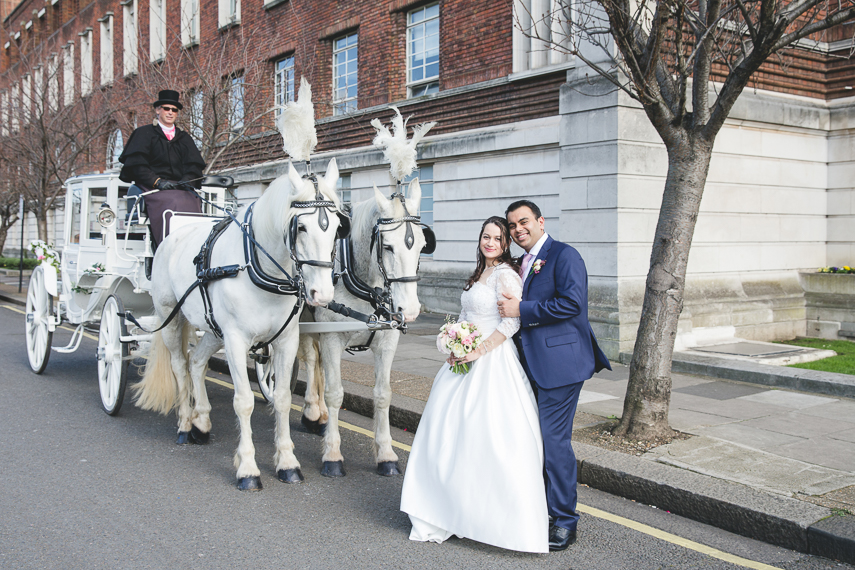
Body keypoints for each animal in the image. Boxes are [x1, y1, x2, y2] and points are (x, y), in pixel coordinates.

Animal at [131, 159, 344, 488]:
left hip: (212, 330)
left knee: (197, 361)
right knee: (180, 365)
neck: (258, 266)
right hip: (171, 318)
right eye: (301, 227)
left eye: (335, 227)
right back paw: (185, 424)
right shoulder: (235, 340)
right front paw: (247, 468)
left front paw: (287, 462)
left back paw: (201, 421)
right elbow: (244, 401)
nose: (322, 294)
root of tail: (171, 237)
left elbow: (282, 399)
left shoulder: (286, 340)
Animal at [300, 178, 434, 474]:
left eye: (421, 246)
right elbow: (335, 393)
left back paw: (319, 417)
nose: (410, 310)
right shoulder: (332, 339)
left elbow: (383, 395)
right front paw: (333, 455)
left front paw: (386, 454)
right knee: (310, 360)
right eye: (388, 247)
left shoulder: (387, 343)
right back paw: (312, 410)